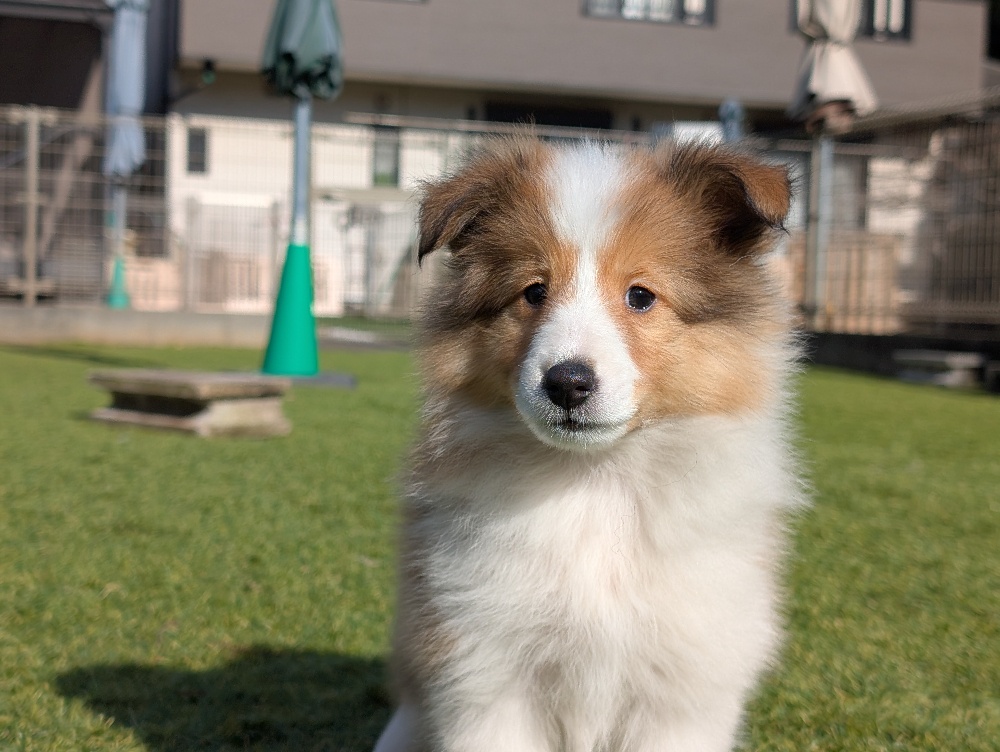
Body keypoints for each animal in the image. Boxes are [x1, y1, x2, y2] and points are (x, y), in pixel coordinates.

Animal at [373, 137, 803, 752]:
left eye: (641, 295)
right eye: (533, 291)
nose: (567, 383)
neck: (595, 482)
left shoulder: (681, 688)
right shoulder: (484, 671)